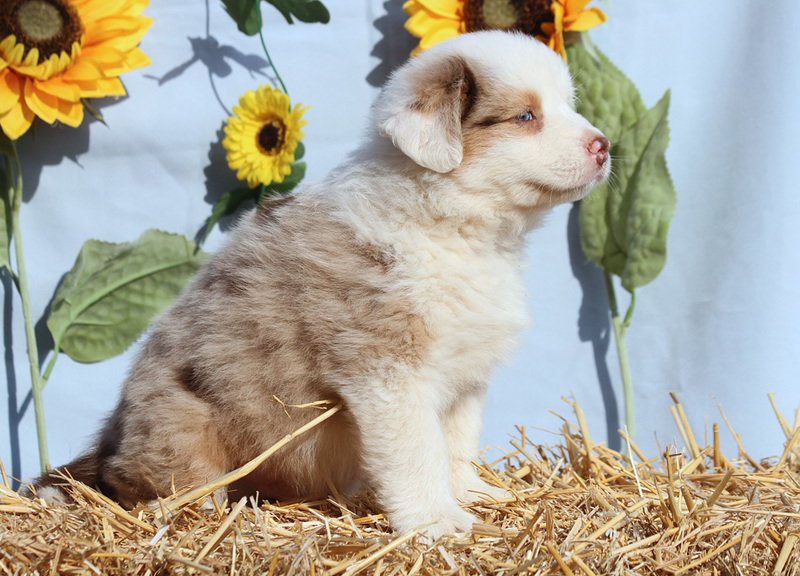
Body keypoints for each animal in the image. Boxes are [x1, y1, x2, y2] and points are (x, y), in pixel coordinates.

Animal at [33, 30, 610, 539]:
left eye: (567, 104)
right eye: (526, 116)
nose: (604, 145)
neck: (458, 225)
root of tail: (110, 439)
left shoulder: (466, 374)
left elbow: (458, 444)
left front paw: (474, 496)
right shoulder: (388, 373)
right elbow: (419, 453)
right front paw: (436, 523)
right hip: (181, 429)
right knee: (156, 487)